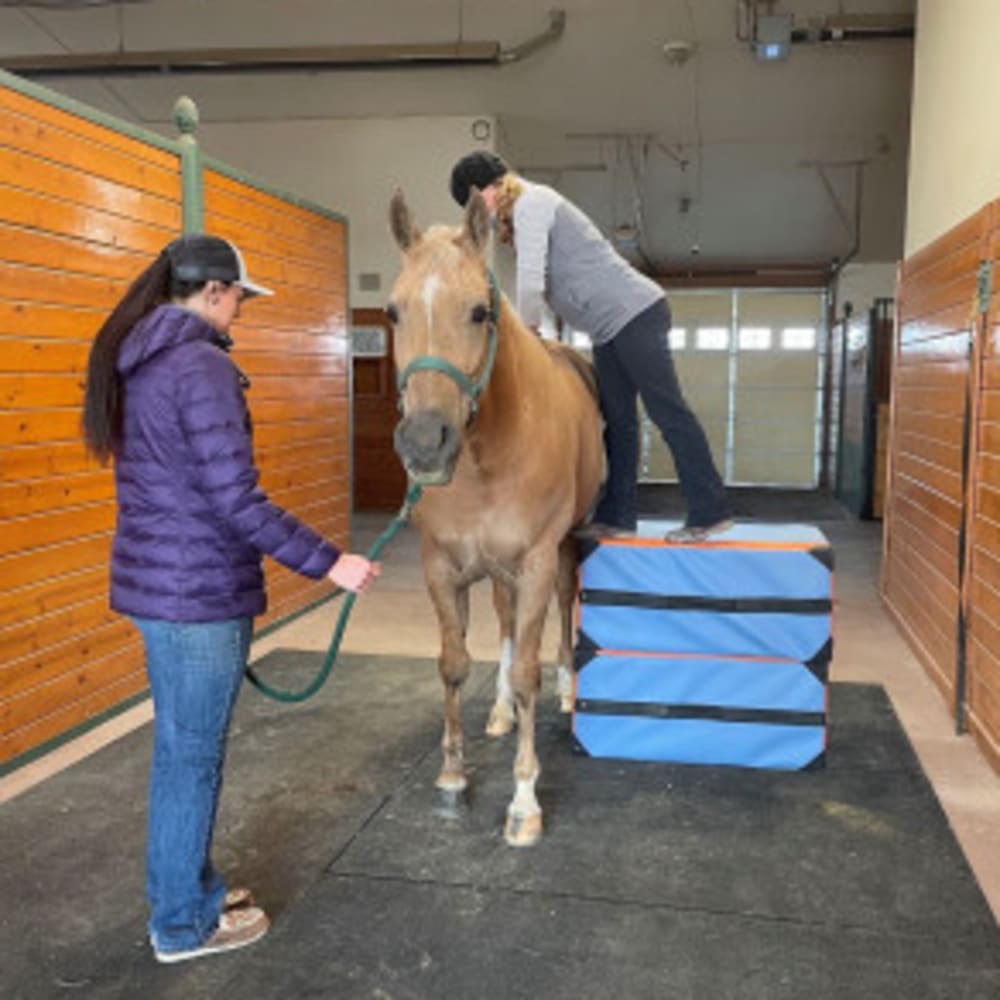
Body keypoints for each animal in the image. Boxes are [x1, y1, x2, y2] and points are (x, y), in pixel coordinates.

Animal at [384, 188, 600, 844]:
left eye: (480, 311)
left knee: (564, 608)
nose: (425, 444)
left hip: (561, 554)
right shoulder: (442, 566)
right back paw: (502, 711)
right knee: (504, 623)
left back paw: (567, 692)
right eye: (393, 313)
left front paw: (524, 801)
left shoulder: (533, 563)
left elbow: (529, 669)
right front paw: (454, 776)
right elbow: (454, 663)